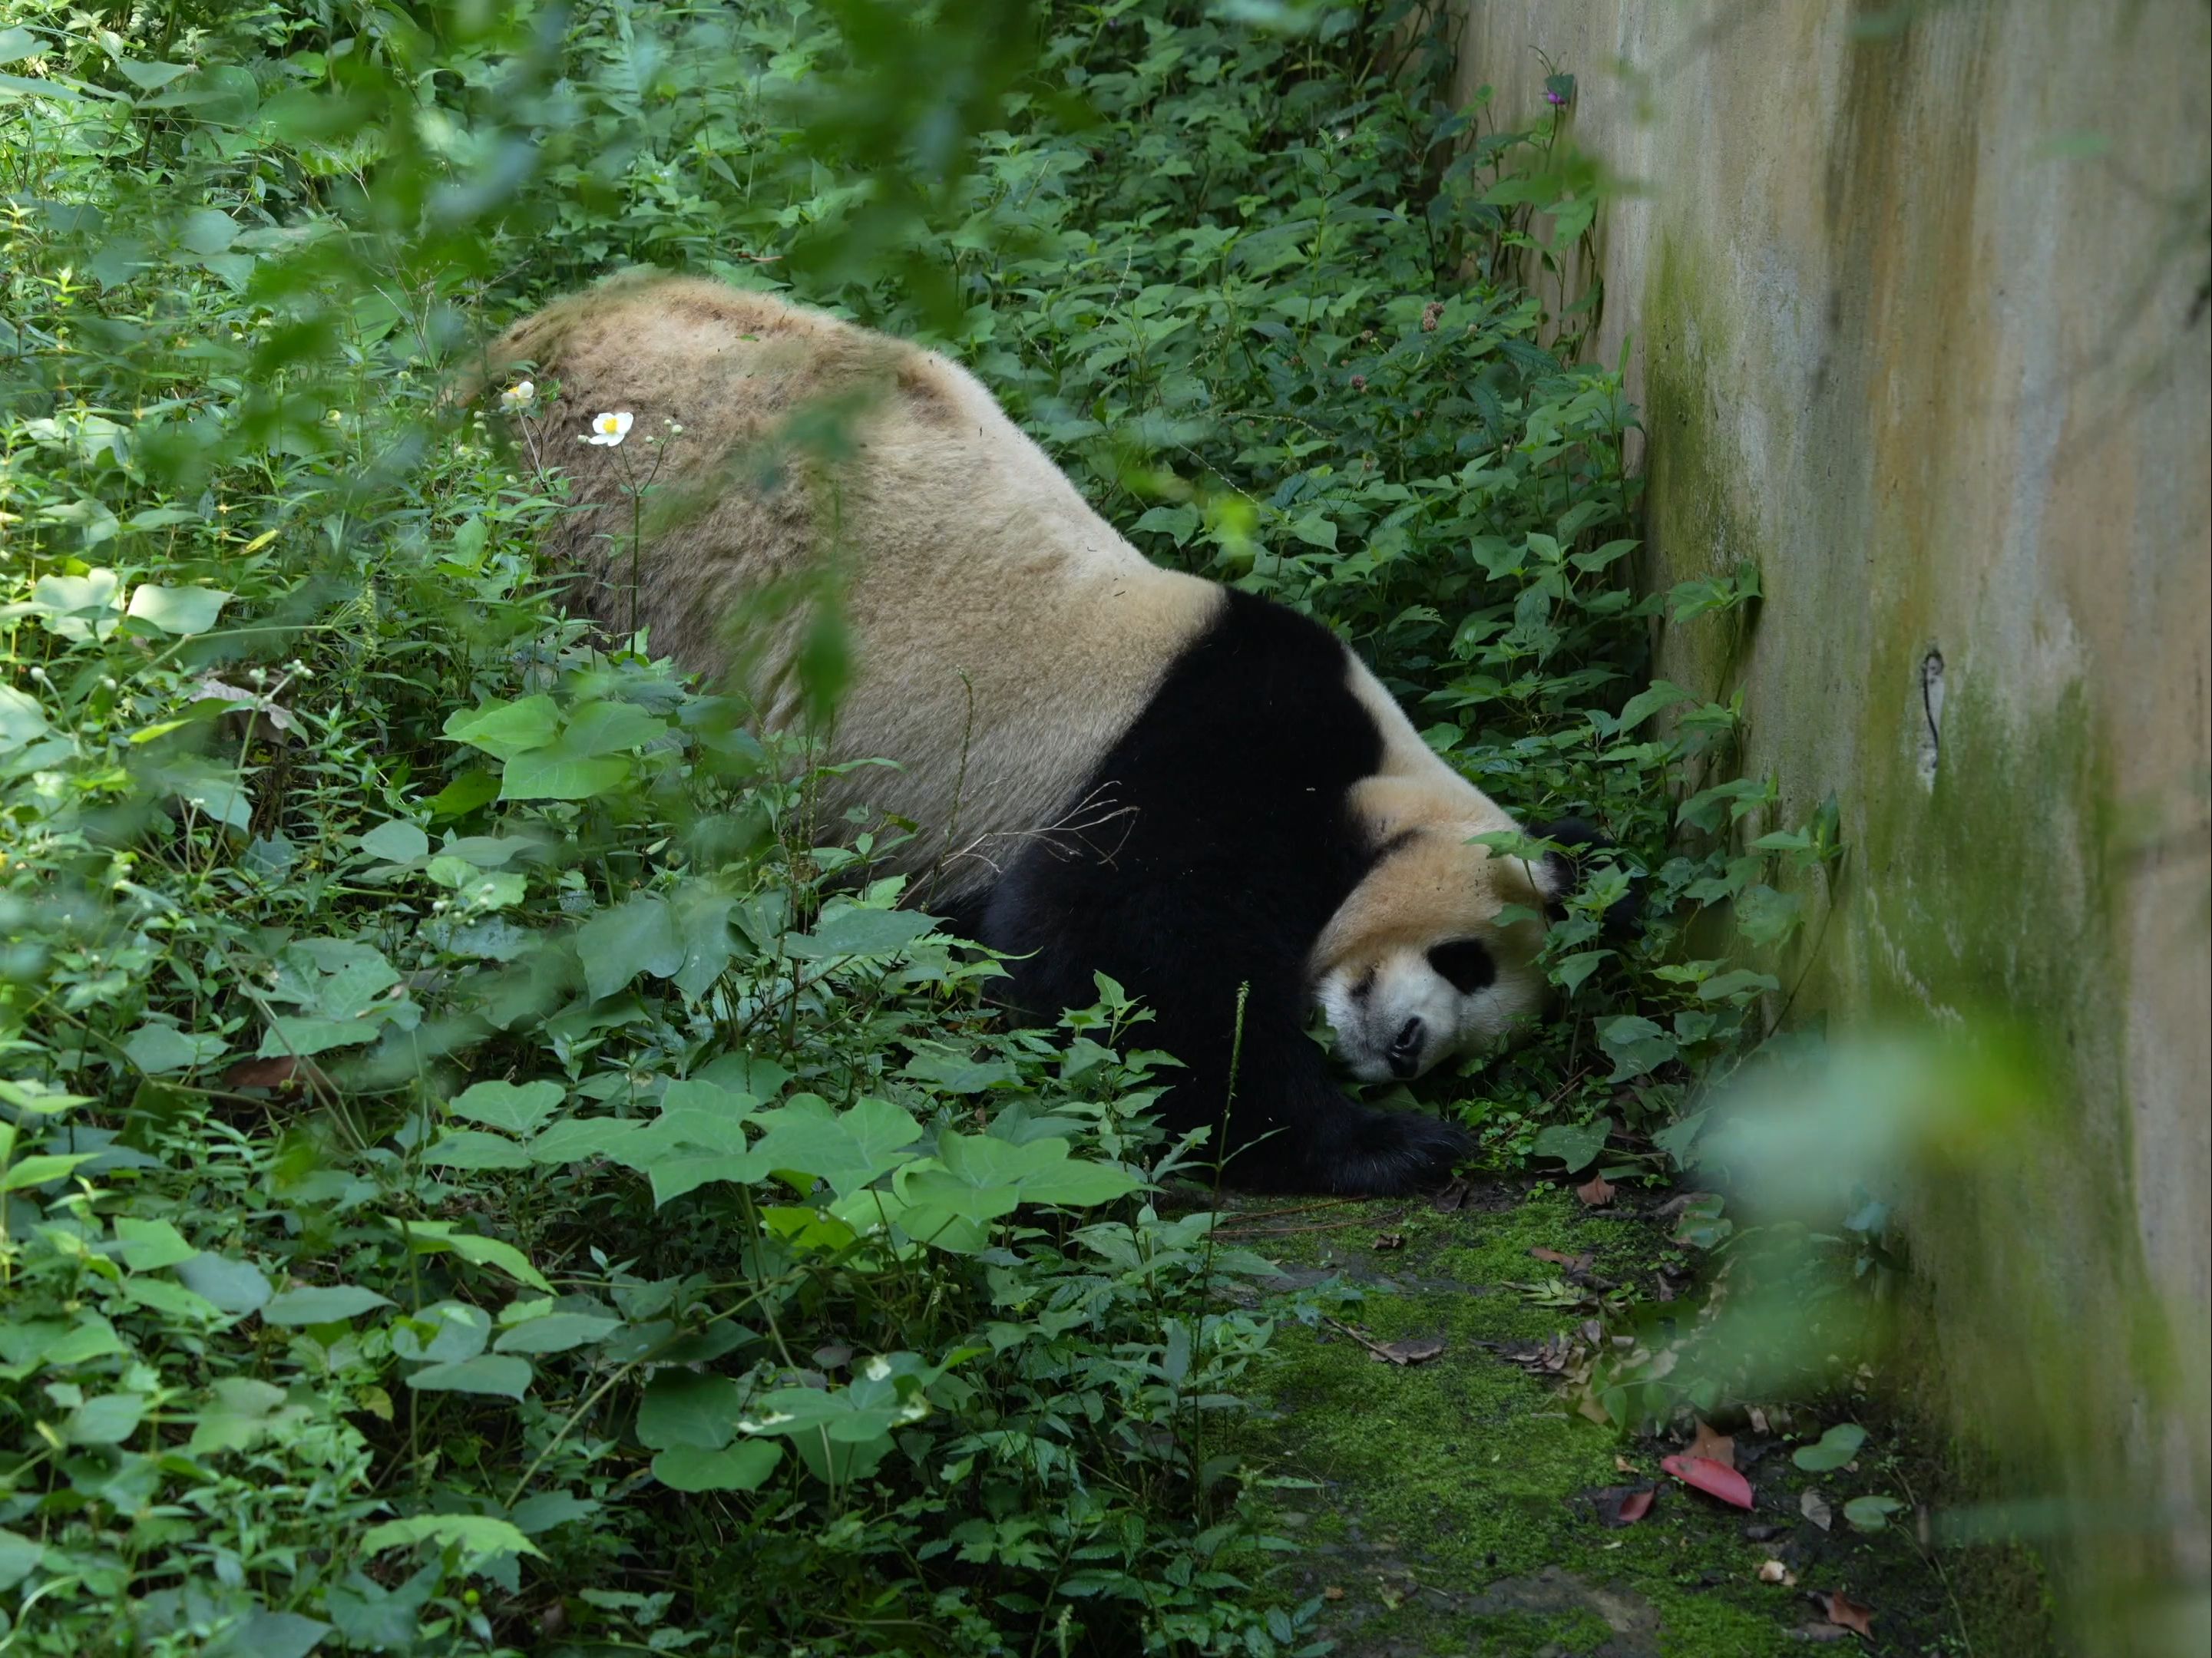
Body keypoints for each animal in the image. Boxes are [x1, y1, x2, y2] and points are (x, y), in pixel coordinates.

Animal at [484, 279, 1601, 1202]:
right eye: (1468, 962)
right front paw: (1385, 1144)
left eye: (1470, 1048)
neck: (1378, 770)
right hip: (605, 541)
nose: (1407, 1050)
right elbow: (1120, 959)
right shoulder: (1221, 740)